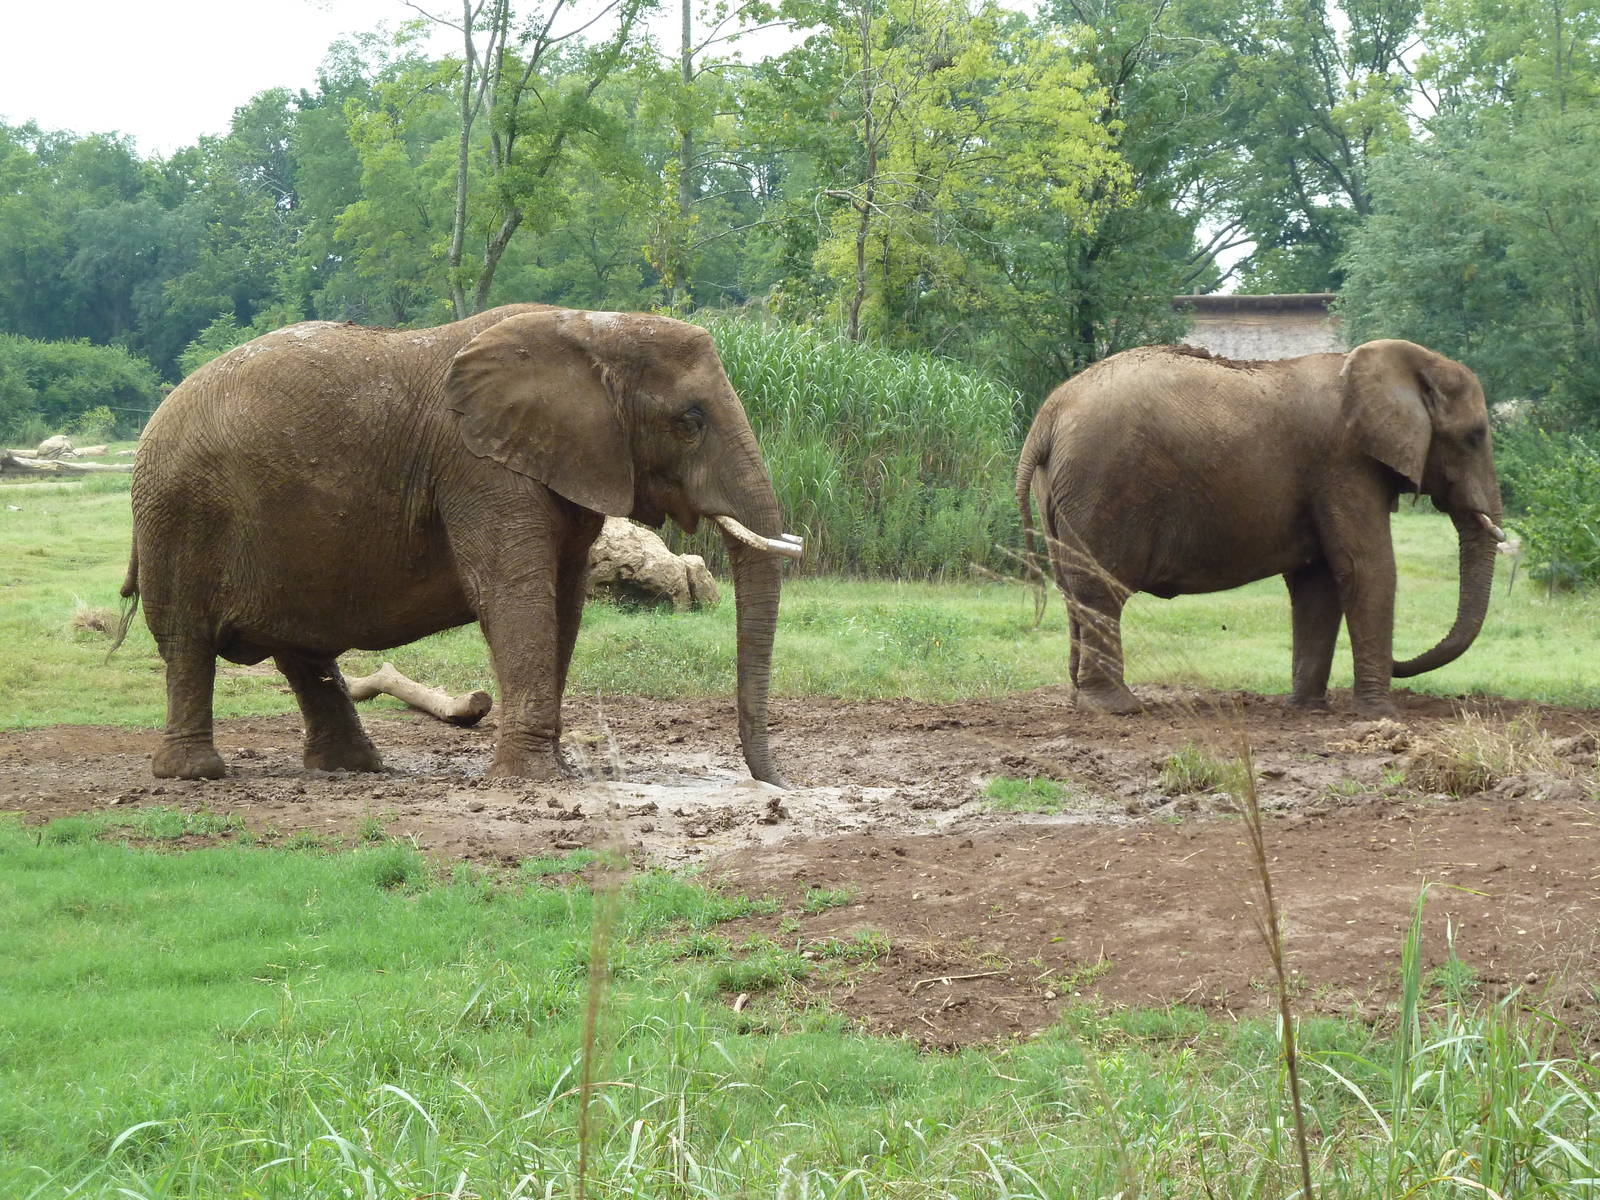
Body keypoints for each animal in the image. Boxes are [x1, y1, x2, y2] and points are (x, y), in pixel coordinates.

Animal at [122, 304, 802, 783]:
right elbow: (513, 593)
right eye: (690, 421)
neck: (590, 327)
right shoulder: (479, 467)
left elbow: (564, 602)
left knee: (301, 649)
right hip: (179, 515)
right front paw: (532, 779)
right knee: (187, 642)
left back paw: (353, 768)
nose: (775, 785)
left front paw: (554, 769)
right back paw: (195, 774)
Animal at [1015, 339, 1504, 716]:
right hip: (1102, 480)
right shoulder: (1345, 465)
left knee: (1072, 589)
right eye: (1475, 436)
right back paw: (1118, 709)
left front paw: (1307, 710)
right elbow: (1365, 568)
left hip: (1062, 489)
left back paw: (1082, 704)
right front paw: (1380, 716)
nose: (1401, 661)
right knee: (1101, 589)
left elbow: (1317, 583)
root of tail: (1048, 417)